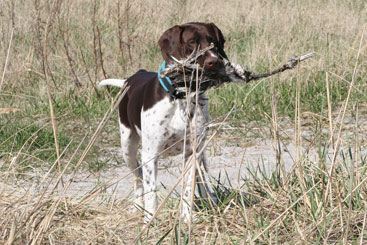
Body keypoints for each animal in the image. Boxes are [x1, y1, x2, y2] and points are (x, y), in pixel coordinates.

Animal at [99, 22, 234, 222]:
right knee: (138, 177)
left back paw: (210, 198)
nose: (214, 61)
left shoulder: (192, 152)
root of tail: (130, 78)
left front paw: (186, 219)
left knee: (200, 177)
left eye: (213, 41)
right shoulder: (150, 154)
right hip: (127, 147)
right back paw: (138, 206)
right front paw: (150, 222)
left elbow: (188, 189)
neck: (181, 97)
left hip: (200, 150)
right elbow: (151, 193)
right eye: (191, 42)